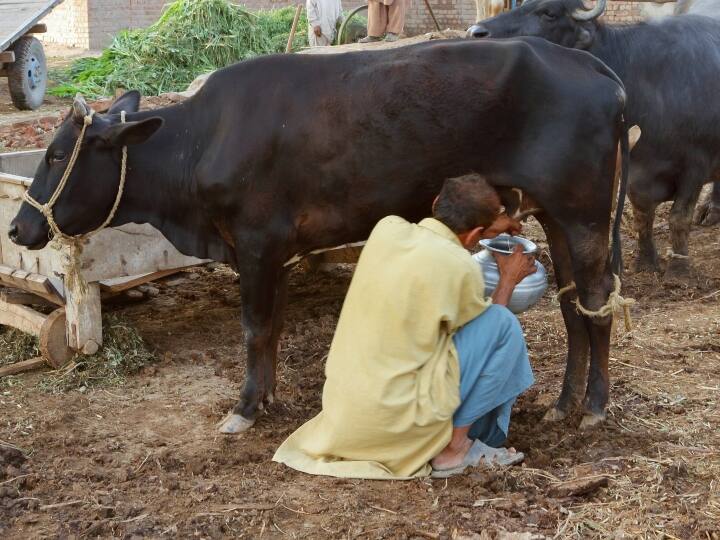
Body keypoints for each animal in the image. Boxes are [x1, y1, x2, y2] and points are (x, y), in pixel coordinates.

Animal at [8, 39, 628, 430]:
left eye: (57, 154)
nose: (18, 226)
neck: (203, 141)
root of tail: (589, 64)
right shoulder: (275, 251)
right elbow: (272, 329)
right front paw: (268, 398)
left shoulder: (256, 242)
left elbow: (255, 328)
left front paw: (245, 409)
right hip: (556, 216)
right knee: (573, 305)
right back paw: (563, 404)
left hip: (584, 214)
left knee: (597, 303)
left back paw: (595, 407)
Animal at [470, 0, 720, 276]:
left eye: (549, 13)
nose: (476, 32)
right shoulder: (636, 167)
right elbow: (643, 214)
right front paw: (645, 262)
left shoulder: (696, 165)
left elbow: (679, 217)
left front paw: (679, 269)